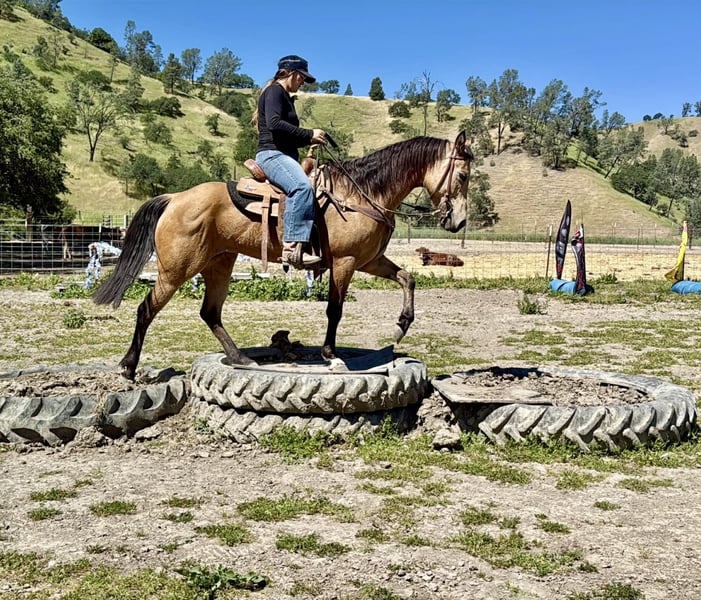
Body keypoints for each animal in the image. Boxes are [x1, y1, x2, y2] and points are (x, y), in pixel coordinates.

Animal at [93, 132, 474, 380]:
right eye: (463, 174)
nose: (459, 222)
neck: (361, 194)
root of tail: (175, 198)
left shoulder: (368, 261)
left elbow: (408, 278)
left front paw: (402, 325)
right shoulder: (346, 262)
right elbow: (334, 310)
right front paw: (331, 356)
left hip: (220, 264)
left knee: (210, 313)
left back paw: (241, 358)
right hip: (177, 270)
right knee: (146, 309)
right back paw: (128, 367)